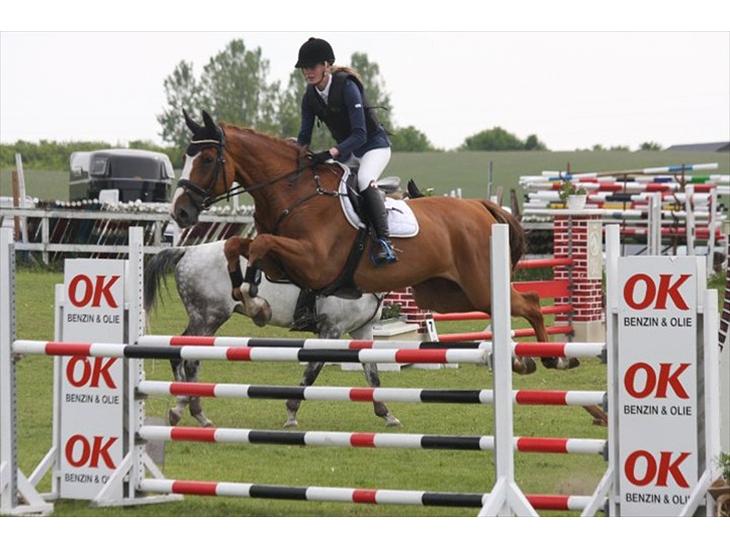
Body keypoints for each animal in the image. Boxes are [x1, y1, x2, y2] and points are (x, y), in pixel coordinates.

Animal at [143, 240, 400, 428]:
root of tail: (188, 251)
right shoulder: (331, 330)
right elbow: (312, 372)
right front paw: (291, 412)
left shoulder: (362, 330)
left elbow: (372, 375)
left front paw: (386, 413)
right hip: (208, 318)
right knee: (188, 360)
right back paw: (189, 410)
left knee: (182, 355)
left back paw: (189, 408)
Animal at [172, 110, 579, 374]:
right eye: (186, 157)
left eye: (206, 159)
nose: (181, 212)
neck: (294, 193)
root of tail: (480, 206)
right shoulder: (284, 263)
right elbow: (239, 247)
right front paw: (248, 295)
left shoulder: (315, 263)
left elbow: (257, 246)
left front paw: (255, 302)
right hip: (447, 295)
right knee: (509, 306)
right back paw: (526, 359)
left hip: (476, 285)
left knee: (529, 303)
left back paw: (556, 357)